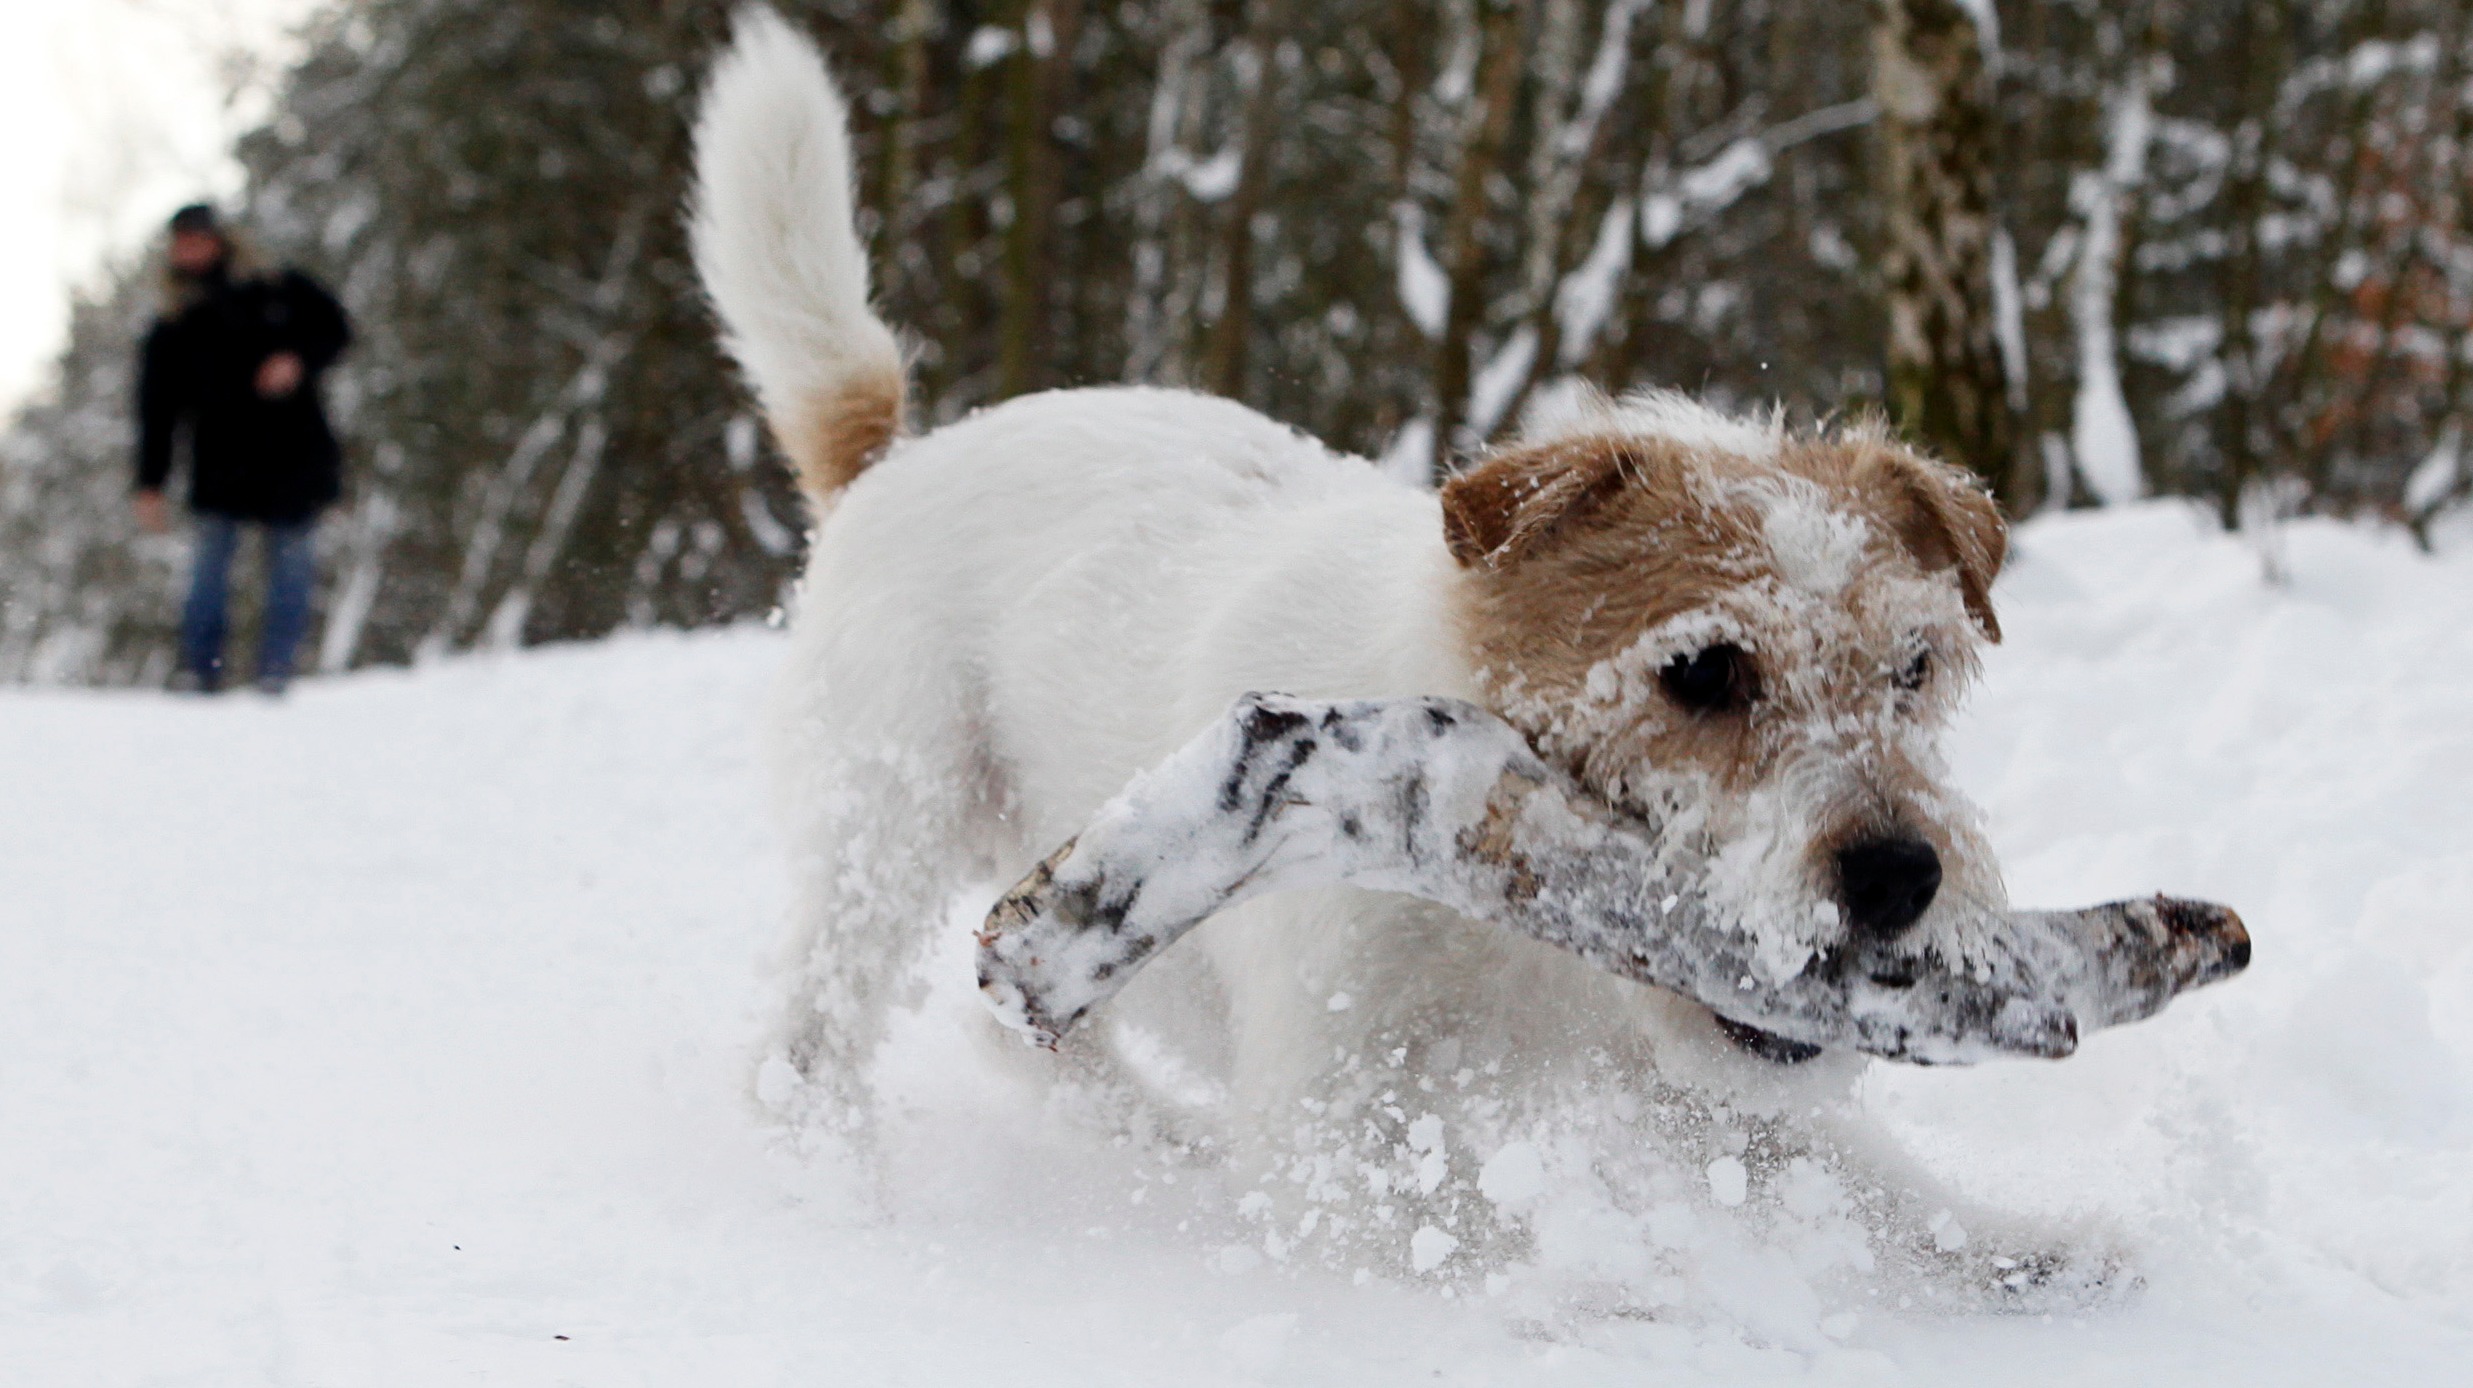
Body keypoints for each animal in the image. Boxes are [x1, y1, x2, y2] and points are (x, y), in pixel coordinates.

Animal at [693, 10, 2056, 1301]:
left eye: (1914, 667)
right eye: (1703, 670)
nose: (1899, 874)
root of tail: (896, 452)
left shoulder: (1698, 1076)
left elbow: (1877, 1186)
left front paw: (2036, 1250)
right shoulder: (1335, 1122)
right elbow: (1464, 1235)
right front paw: (1611, 1295)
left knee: (1028, 1038)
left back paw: (1167, 1144)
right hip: (885, 828)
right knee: (803, 1043)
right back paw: (842, 1177)